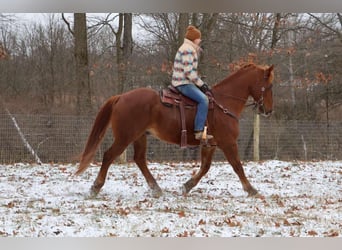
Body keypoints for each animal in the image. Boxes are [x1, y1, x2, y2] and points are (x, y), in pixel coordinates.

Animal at [76, 63, 274, 198]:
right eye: (270, 86)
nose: (269, 110)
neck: (222, 103)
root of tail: (121, 97)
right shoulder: (228, 143)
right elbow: (237, 166)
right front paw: (251, 189)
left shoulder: (210, 144)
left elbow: (205, 167)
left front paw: (187, 186)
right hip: (125, 137)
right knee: (109, 156)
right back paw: (96, 187)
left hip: (139, 136)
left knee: (139, 159)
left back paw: (156, 188)